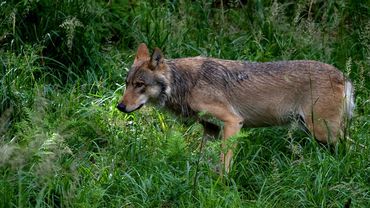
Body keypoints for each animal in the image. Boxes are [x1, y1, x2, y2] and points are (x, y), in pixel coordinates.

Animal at [117, 43, 354, 173]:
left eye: (140, 85)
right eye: (127, 83)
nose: (120, 106)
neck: (184, 83)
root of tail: (343, 76)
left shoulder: (233, 122)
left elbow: (224, 163)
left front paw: (222, 186)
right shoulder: (211, 129)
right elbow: (203, 160)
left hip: (324, 133)